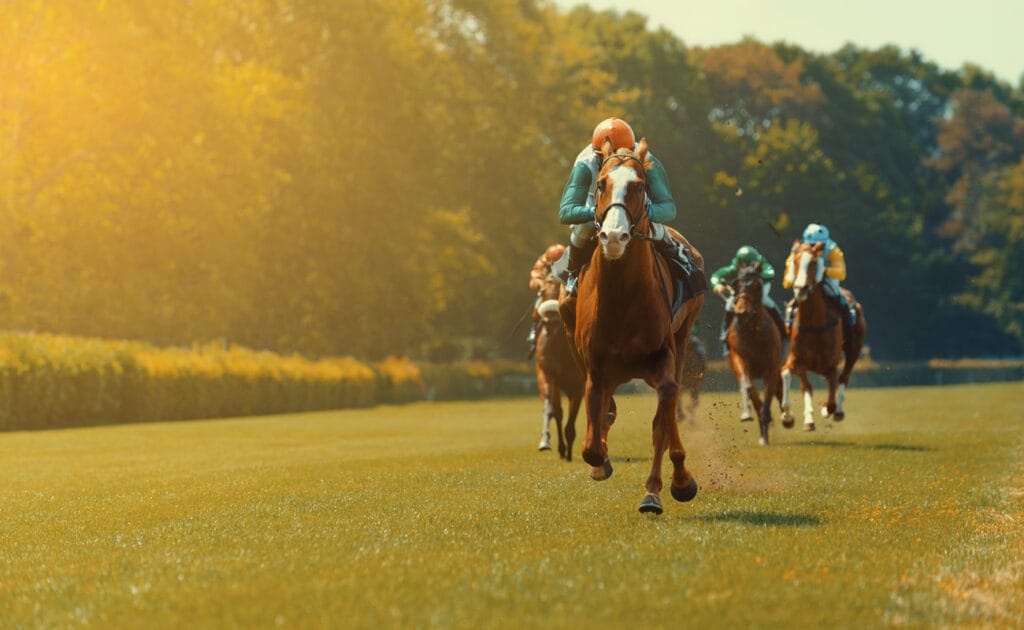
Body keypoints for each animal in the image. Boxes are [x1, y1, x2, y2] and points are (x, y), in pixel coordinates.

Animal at [561, 137, 704, 512]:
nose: (614, 237)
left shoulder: (663, 355)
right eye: (600, 184)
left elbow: (663, 417)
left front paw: (677, 483)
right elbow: (591, 448)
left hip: (683, 337)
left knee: (665, 415)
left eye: (639, 186)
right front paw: (600, 461)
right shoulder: (596, 369)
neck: (622, 297)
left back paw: (657, 490)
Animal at [729, 264, 782, 446]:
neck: (753, 332)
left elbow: (769, 394)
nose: (741, 313)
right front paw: (749, 415)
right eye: (735, 285)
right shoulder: (739, 358)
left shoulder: (771, 367)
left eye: (757, 285)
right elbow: (749, 388)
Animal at [778, 240, 868, 428]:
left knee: (844, 377)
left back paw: (837, 411)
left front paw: (826, 408)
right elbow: (790, 375)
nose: (801, 289)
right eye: (795, 261)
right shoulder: (797, 359)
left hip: (854, 349)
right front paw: (789, 418)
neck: (813, 325)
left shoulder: (831, 365)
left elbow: (832, 393)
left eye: (813, 263)